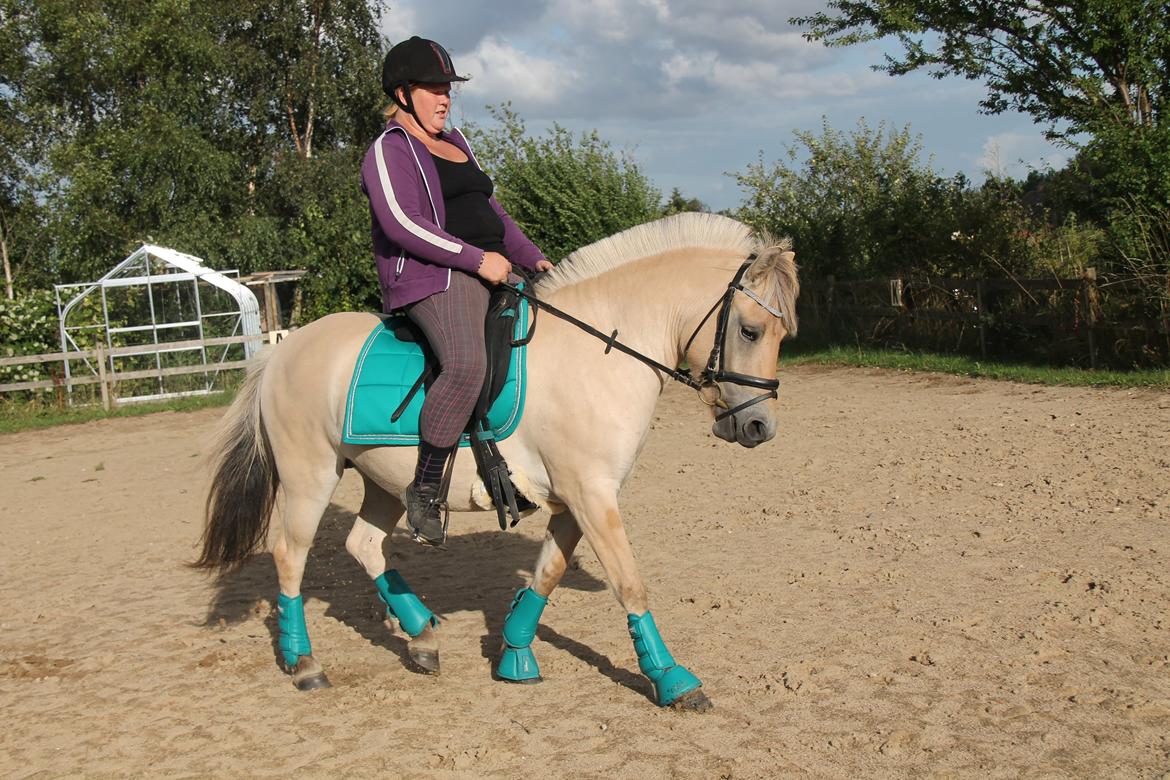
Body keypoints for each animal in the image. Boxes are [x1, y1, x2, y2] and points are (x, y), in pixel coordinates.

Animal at [196, 210, 800, 711]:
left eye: (780, 333)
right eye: (749, 330)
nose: (759, 428)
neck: (598, 350)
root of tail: (282, 352)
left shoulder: (573, 500)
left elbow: (547, 574)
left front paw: (513, 655)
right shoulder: (591, 494)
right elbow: (630, 583)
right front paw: (673, 680)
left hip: (383, 482)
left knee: (363, 544)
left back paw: (422, 637)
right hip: (309, 477)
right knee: (290, 557)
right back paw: (304, 664)